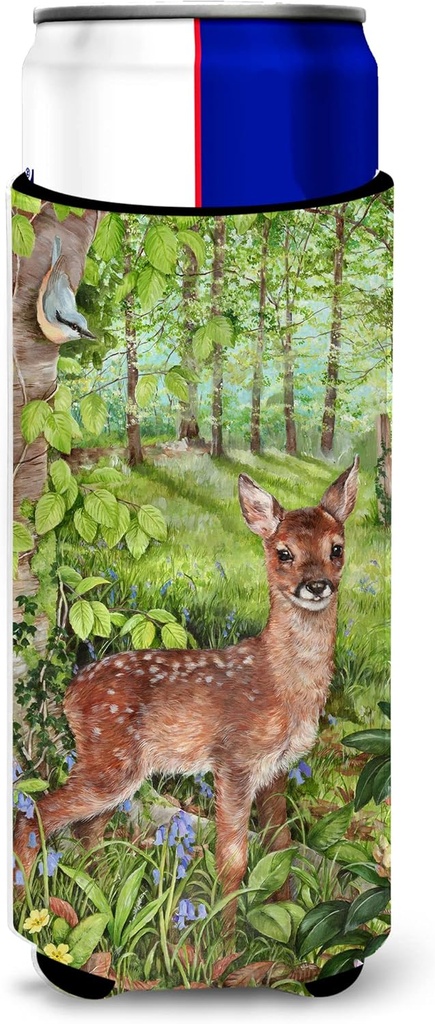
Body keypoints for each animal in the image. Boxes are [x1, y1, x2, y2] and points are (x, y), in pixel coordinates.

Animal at [14, 458, 359, 938]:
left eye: (336, 548)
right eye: (284, 552)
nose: (317, 585)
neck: (280, 685)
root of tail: (70, 694)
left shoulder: (277, 769)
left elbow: (282, 847)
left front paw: (287, 932)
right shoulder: (234, 759)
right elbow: (233, 861)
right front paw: (227, 944)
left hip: (116, 768)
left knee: (87, 831)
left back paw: (101, 904)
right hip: (110, 762)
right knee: (36, 815)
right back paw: (30, 904)